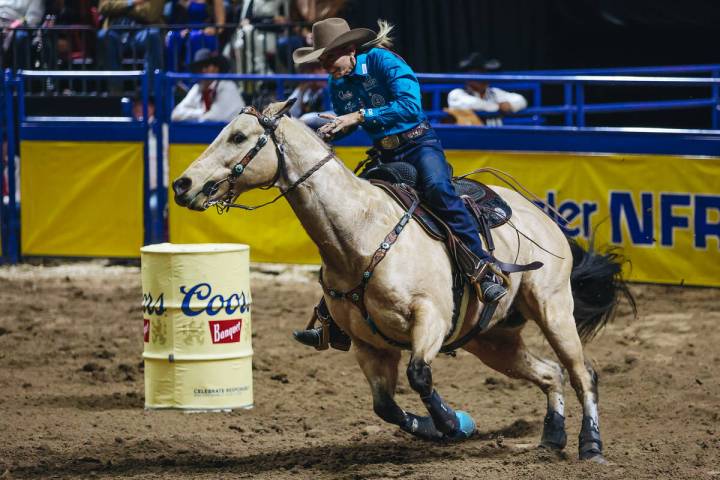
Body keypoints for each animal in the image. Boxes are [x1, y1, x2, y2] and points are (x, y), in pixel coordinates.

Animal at [172, 99, 632, 464]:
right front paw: (440, 427)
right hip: (492, 339)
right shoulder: (368, 345)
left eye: (238, 136)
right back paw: (551, 438)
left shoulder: (430, 317)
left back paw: (590, 446)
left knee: (582, 373)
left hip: (553, 309)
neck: (359, 234)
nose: (182, 184)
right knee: (550, 373)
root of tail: (541, 215)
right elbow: (386, 407)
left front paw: (453, 423)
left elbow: (419, 375)